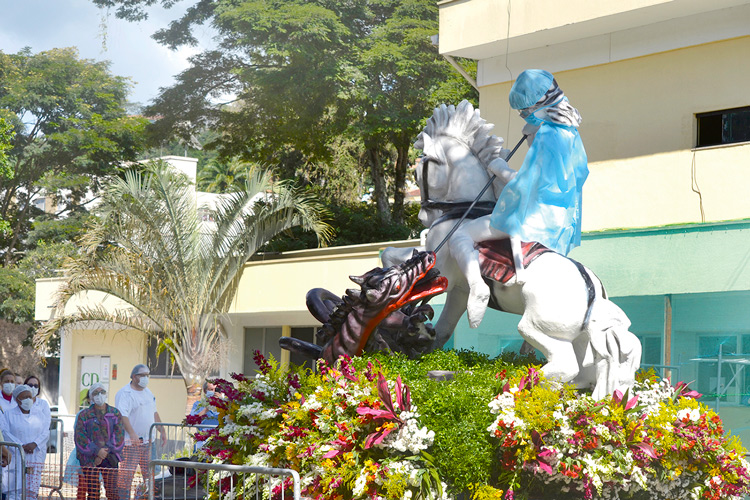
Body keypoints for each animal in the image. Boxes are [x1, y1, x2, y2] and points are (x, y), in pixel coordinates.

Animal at [384, 100, 644, 398]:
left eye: (418, 172)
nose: (424, 215)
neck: (465, 209)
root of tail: (591, 290)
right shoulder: (459, 290)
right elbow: (444, 326)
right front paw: (419, 337)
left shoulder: (444, 269)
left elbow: (393, 258)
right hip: (580, 337)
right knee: (588, 371)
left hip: (536, 325)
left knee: (566, 366)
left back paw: (517, 381)